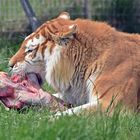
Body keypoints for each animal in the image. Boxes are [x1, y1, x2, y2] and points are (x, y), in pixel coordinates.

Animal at [8, 11, 140, 115]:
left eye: (30, 50)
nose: (9, 65)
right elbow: (54, 96)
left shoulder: (112, 104)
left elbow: (69, 114)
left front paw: (45, 121)